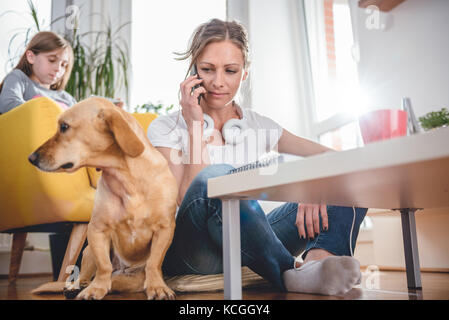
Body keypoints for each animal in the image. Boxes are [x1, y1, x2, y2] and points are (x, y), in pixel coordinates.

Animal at [27, 97, 178, 300]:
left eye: (64, 126)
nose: (31, 158)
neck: (127, 179)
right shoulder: (97, 230)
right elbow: (104, 266)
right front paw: (95, 289)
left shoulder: (165, 228)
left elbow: (153, 263)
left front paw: (157, 286)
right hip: (89, 251)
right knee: (88, 276)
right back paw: (78, 287)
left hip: (132, 278)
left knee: (117, 281)